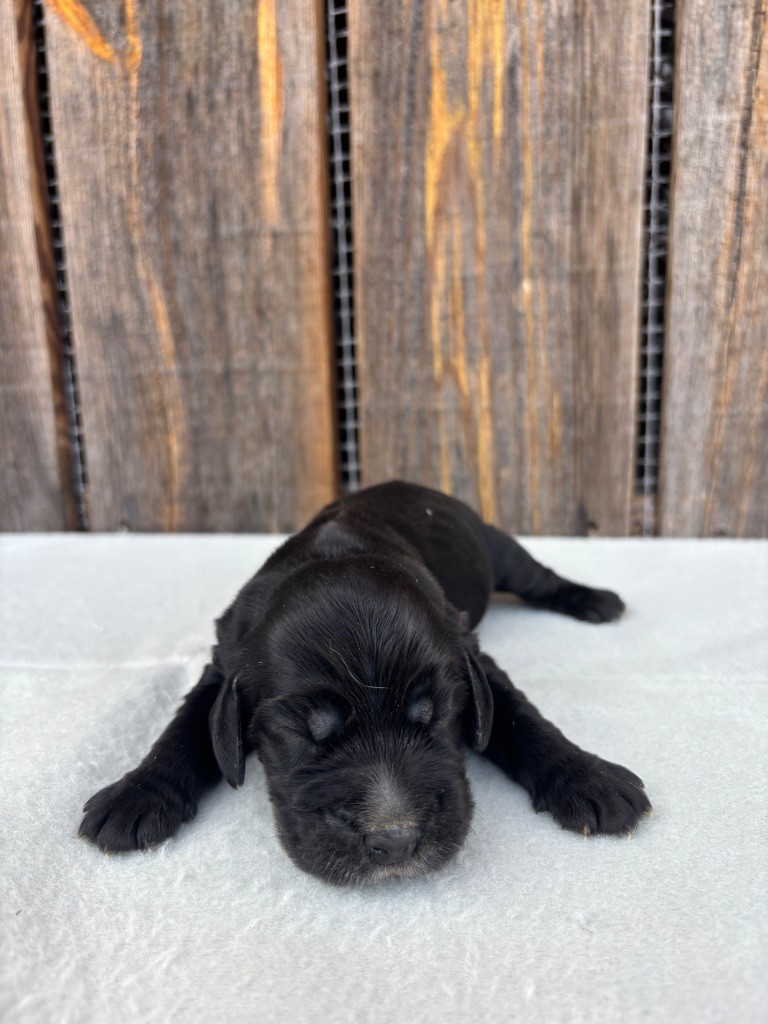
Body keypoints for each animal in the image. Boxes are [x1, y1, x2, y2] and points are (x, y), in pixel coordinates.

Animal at [79, 481, 651, 884]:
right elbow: (184, 728)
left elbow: (519, 718)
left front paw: (590, 778)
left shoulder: (471, 651)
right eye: (305, 734)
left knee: (537, 575)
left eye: (438, 715)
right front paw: (135, 796)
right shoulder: (224, 659)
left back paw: (595, 600)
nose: (394, 842)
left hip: (497, 547)